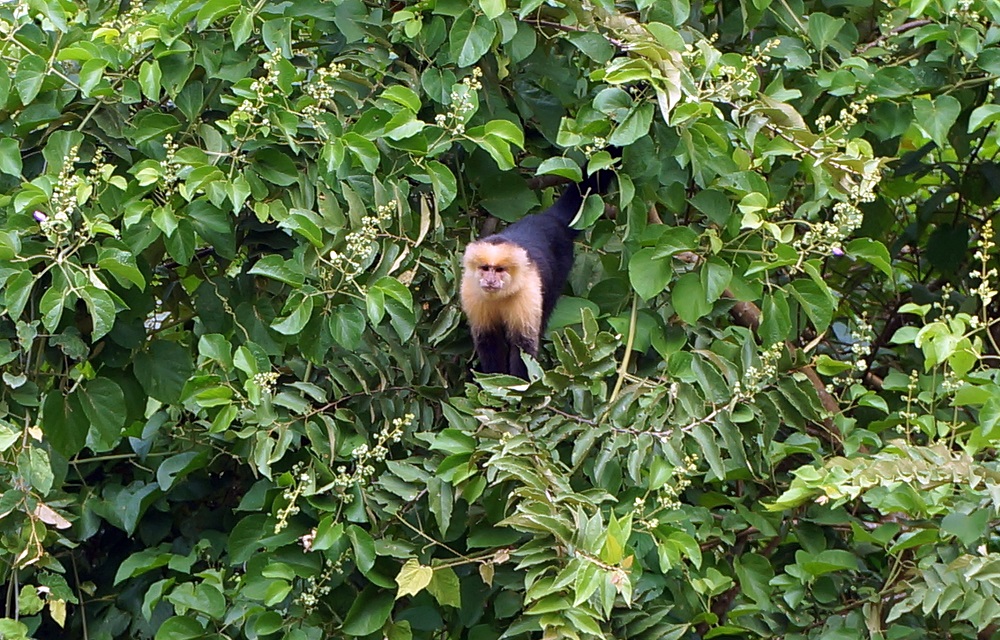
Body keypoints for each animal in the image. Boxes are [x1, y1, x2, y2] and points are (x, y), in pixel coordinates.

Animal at [462, 162, 616, 378]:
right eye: (485, 268)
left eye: (499, 270)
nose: (490, 280)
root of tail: (550, 219)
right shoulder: (471, 292)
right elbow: (488, 342)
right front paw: (493, 377)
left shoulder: (527, 291)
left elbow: (523, 346)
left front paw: (518, 383)